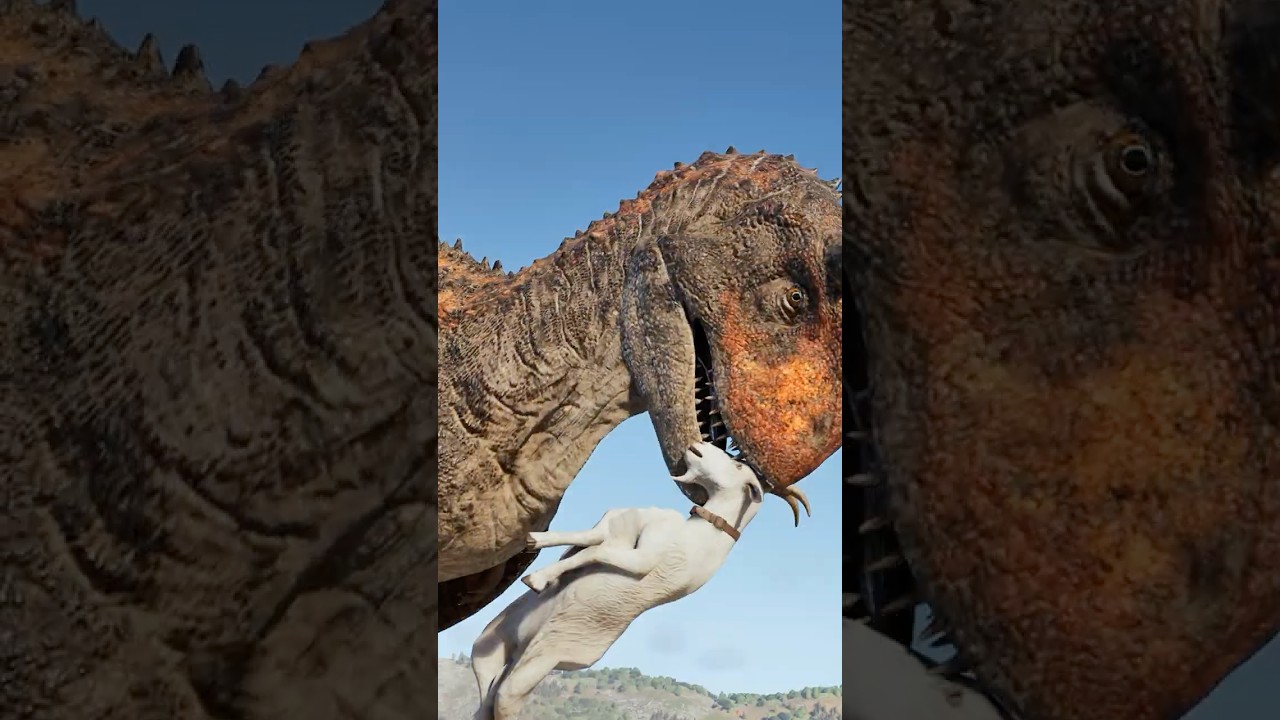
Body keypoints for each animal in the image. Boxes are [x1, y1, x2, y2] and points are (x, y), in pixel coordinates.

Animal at [469, 441, 809, 720]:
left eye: (738, 466)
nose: (698, 446)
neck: (700, 532)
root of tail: (520, 646)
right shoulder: (614, 527)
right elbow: (587, 539)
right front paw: (535, 542)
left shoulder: (643, 558)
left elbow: (596, 551)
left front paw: (538, 578)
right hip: (489, 648)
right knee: (484, 700)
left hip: (527, 672)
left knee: (501, 702)